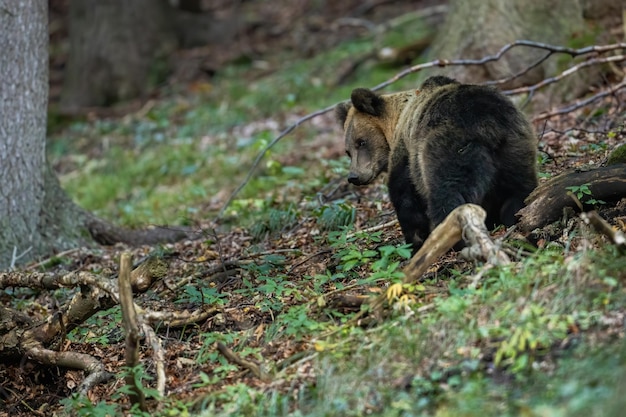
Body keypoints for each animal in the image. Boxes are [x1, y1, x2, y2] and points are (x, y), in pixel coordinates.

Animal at [336, 75, 536, 250]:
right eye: (348, 151)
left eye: (361, 142)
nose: (354, 176)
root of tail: (487, 124)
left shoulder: (408, 157)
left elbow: (405, 198)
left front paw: (415, 241)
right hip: (515, 147)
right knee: (519, 189)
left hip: (448, 148)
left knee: (447, 194)